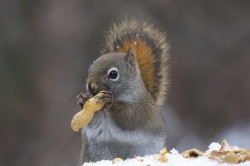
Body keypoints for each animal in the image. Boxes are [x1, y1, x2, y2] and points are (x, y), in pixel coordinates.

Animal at [76, 19, 170, 165]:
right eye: (90, 69)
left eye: (113, 74)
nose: (90, 86)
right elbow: (91, 122)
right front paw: (82, 98)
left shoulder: (140, 110)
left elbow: (128, 119)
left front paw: (110, 102)